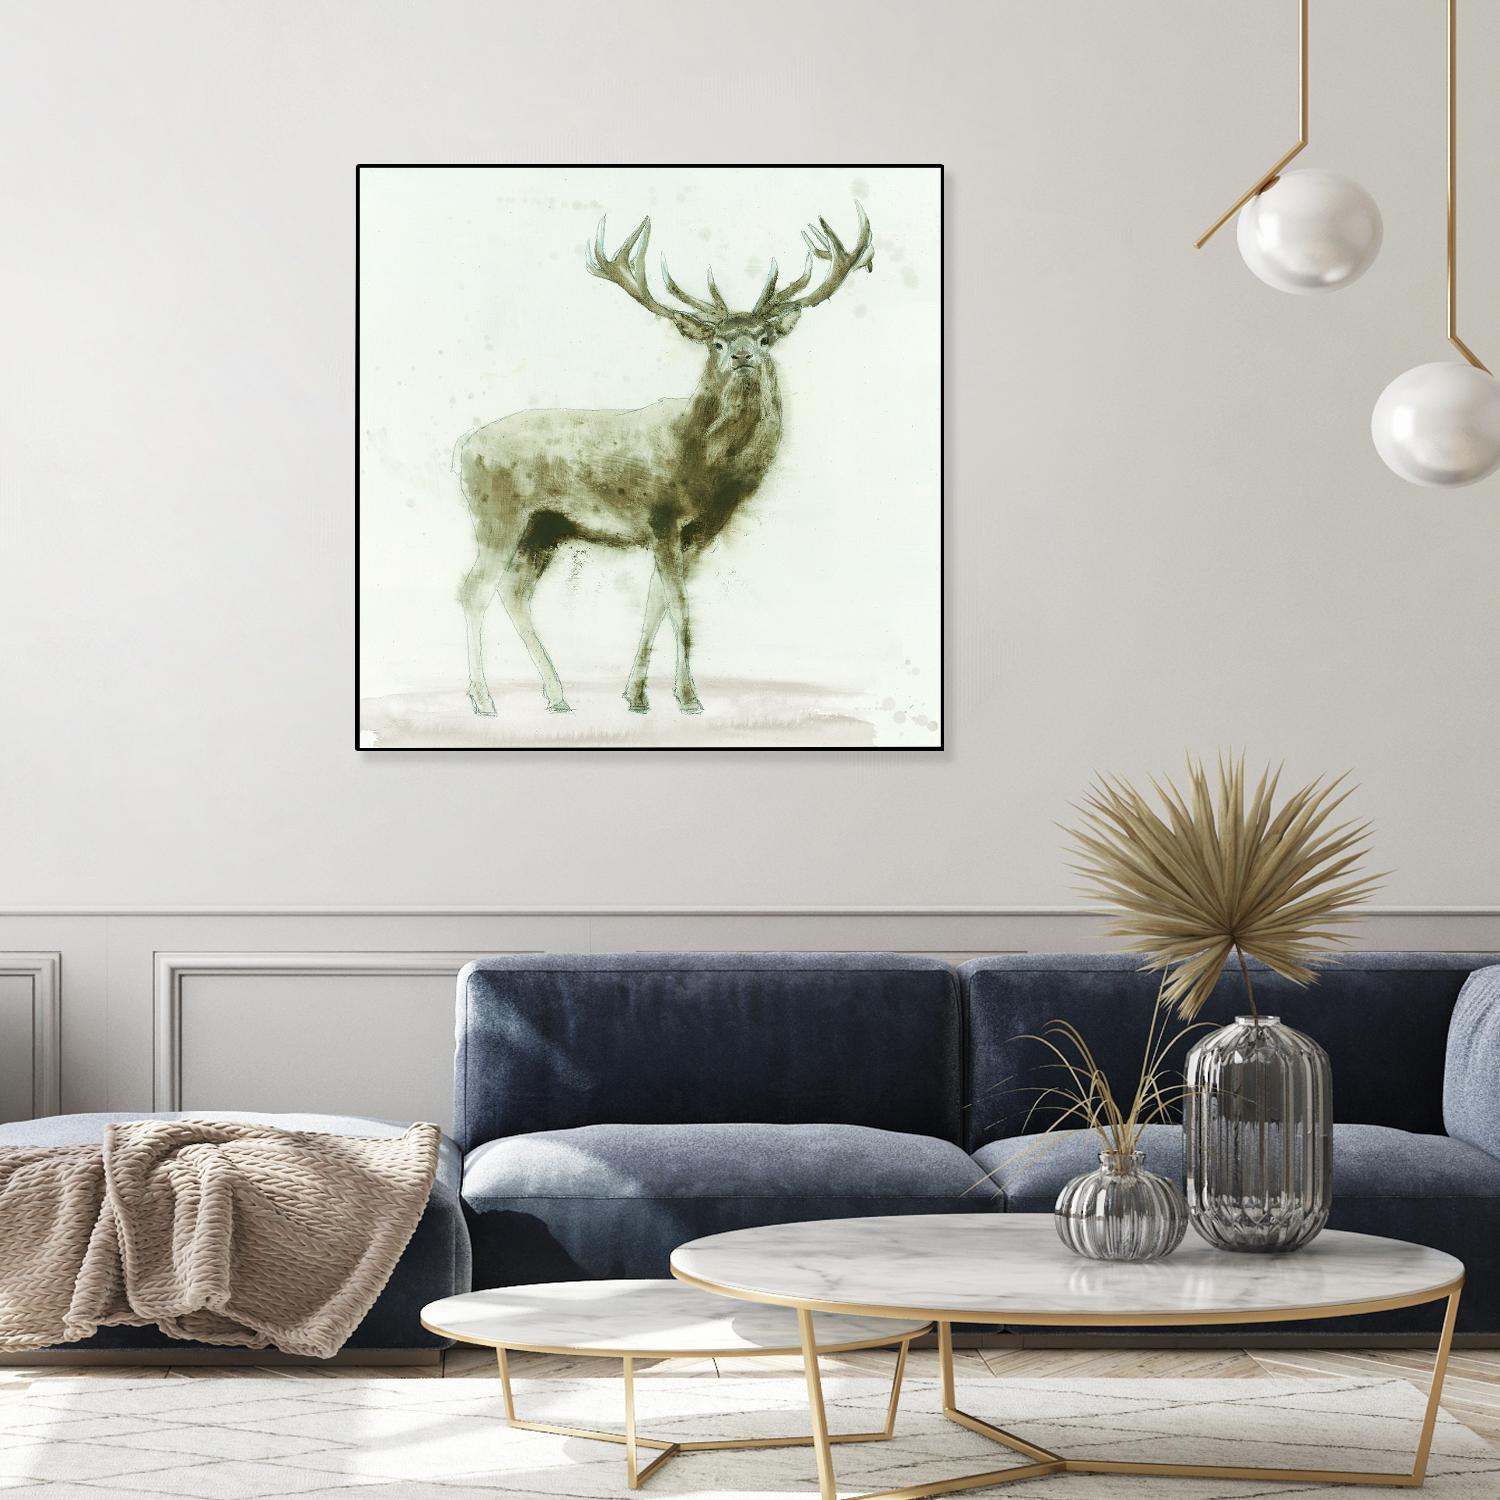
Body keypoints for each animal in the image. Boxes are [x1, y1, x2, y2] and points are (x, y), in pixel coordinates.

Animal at [456, 202, 873, 717]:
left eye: (763, 338)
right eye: (717, 341)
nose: (741, 356)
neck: (704, 467)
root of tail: (462, 449)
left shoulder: (696, 532)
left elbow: (656, 603)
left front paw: (636, 695)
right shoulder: (661, 517)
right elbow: (680, 606)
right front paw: (690, 698)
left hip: (545, 528)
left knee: (513, 593)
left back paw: (557, 695)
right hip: (498, 514)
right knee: (474, 590)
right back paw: (484, 700)